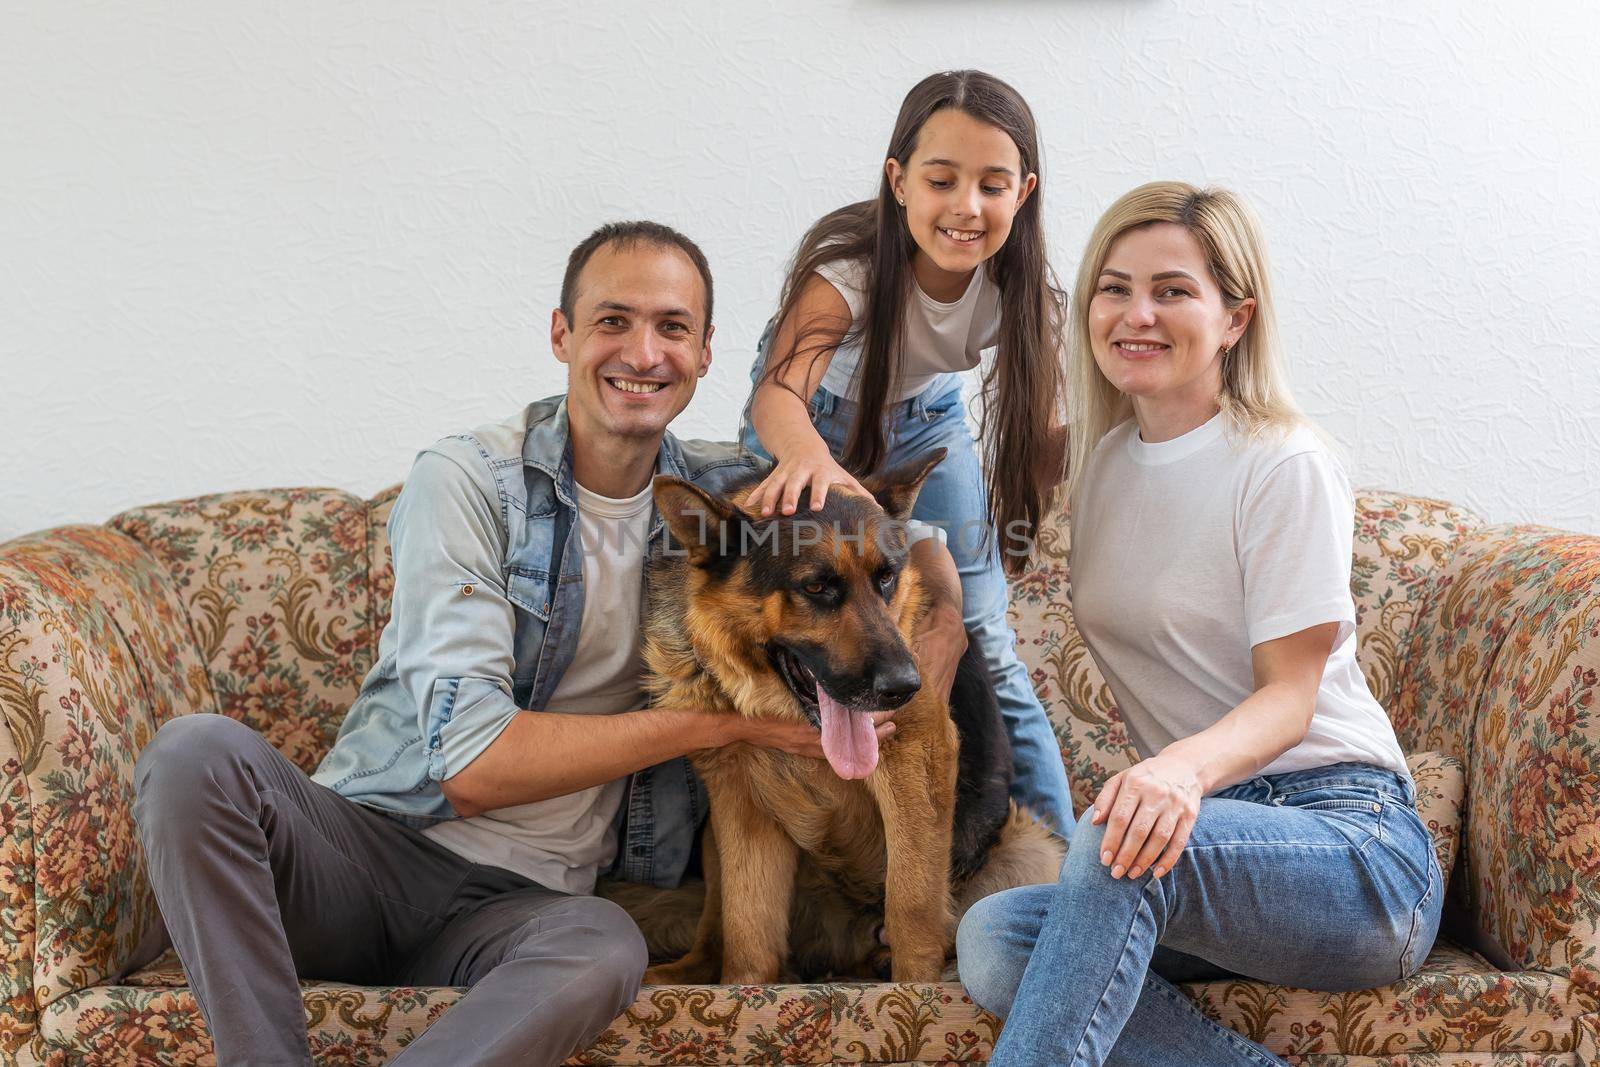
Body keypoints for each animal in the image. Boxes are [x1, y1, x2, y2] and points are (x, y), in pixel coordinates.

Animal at [620, 447, 1062, 985]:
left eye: (887, 577)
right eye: (817, 587)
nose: (905, 688)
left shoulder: (915, 767)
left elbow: (912, 905)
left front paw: (912, 989)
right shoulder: (742, 807)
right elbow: (748, 933)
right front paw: (744, 992)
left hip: (1031, 846)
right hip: (712, 839)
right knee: (716, 933)